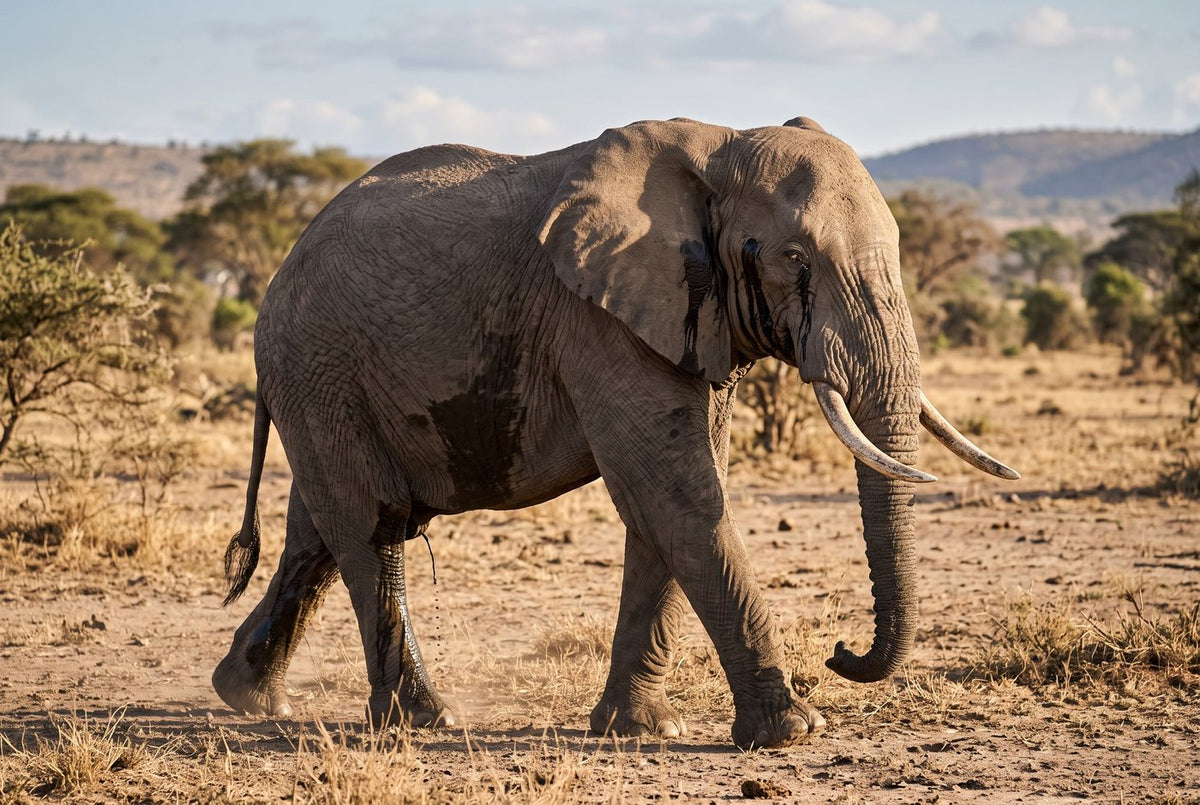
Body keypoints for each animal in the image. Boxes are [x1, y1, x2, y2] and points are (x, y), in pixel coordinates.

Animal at [212, 116, 1017, 749]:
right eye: (794, 259)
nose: (842, 653)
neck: (719, 144)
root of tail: (280, 271)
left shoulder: (689, 315)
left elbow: (666, 500)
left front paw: (640, 729)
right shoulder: (598, 319)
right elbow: (678, 491)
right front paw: (794, 730)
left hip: (326, 382)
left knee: (319, 528)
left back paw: (247, 697)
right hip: (318, 365)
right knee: (371, 524)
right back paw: (422, 720)